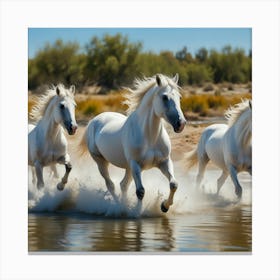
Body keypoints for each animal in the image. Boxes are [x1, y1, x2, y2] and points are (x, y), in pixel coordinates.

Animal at [80, 74, 187, 212]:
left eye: (179, 97)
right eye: (164, 97)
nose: (181, 124)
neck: (150, 137)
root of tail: (94, 120)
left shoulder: (164, 162)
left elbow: (174, 184)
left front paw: (164, 206)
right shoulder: (136, 164)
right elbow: (140, 191)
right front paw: (137, 212)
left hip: (128, 167)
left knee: (123, 185)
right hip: (101, 161)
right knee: (111, 185)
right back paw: (120, 207)